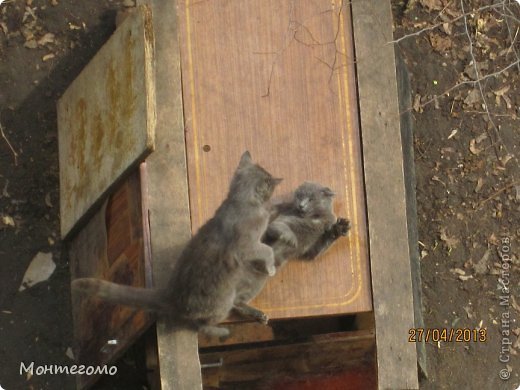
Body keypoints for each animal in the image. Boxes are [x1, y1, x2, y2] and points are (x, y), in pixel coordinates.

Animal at [71, 152, 282, 338]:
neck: (240, 202)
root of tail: (171, 295)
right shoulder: (247, 244)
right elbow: (266, 249)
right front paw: (271, 266)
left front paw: (277, 209)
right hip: (223, 300)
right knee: (202, 325)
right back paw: (223, 331)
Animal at [234, 183, 352, 322]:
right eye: (299, 196)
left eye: (311, 199)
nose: (301, 205)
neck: (314, 218)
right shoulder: (281, 218)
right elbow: (278, 227)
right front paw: (291, 238)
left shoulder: (312, 248)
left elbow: (318, 247)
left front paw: (340, 227)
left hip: (258, 280)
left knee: (236, 302)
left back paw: (259, 315)